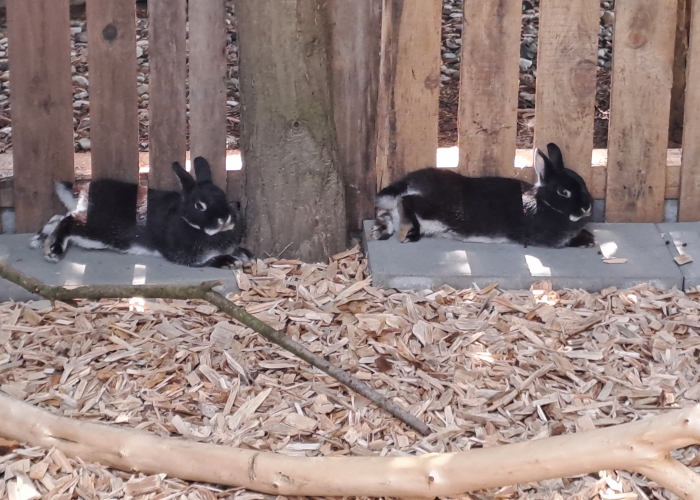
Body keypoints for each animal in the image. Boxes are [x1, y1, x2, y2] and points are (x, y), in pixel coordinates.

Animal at [29, 157, 254, 268]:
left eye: (223, 196)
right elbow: (208, 261)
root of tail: (83, 192)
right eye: (200, 206)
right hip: (96, 230)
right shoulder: (184, 256)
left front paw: (246, 256)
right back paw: (53, 250)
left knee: (59, 217)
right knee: (68, 222)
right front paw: (230, 261)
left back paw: (38, 239)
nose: (224, 218)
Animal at [371, 143, 595, 248]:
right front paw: (587, 240)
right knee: (406, 201)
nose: (587, 207)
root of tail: (412, 182)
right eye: (564, 192)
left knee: (389, 213)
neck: (544, 203)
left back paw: (381, 232)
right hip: (438, 209)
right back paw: (409, 232)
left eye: (584, 183)